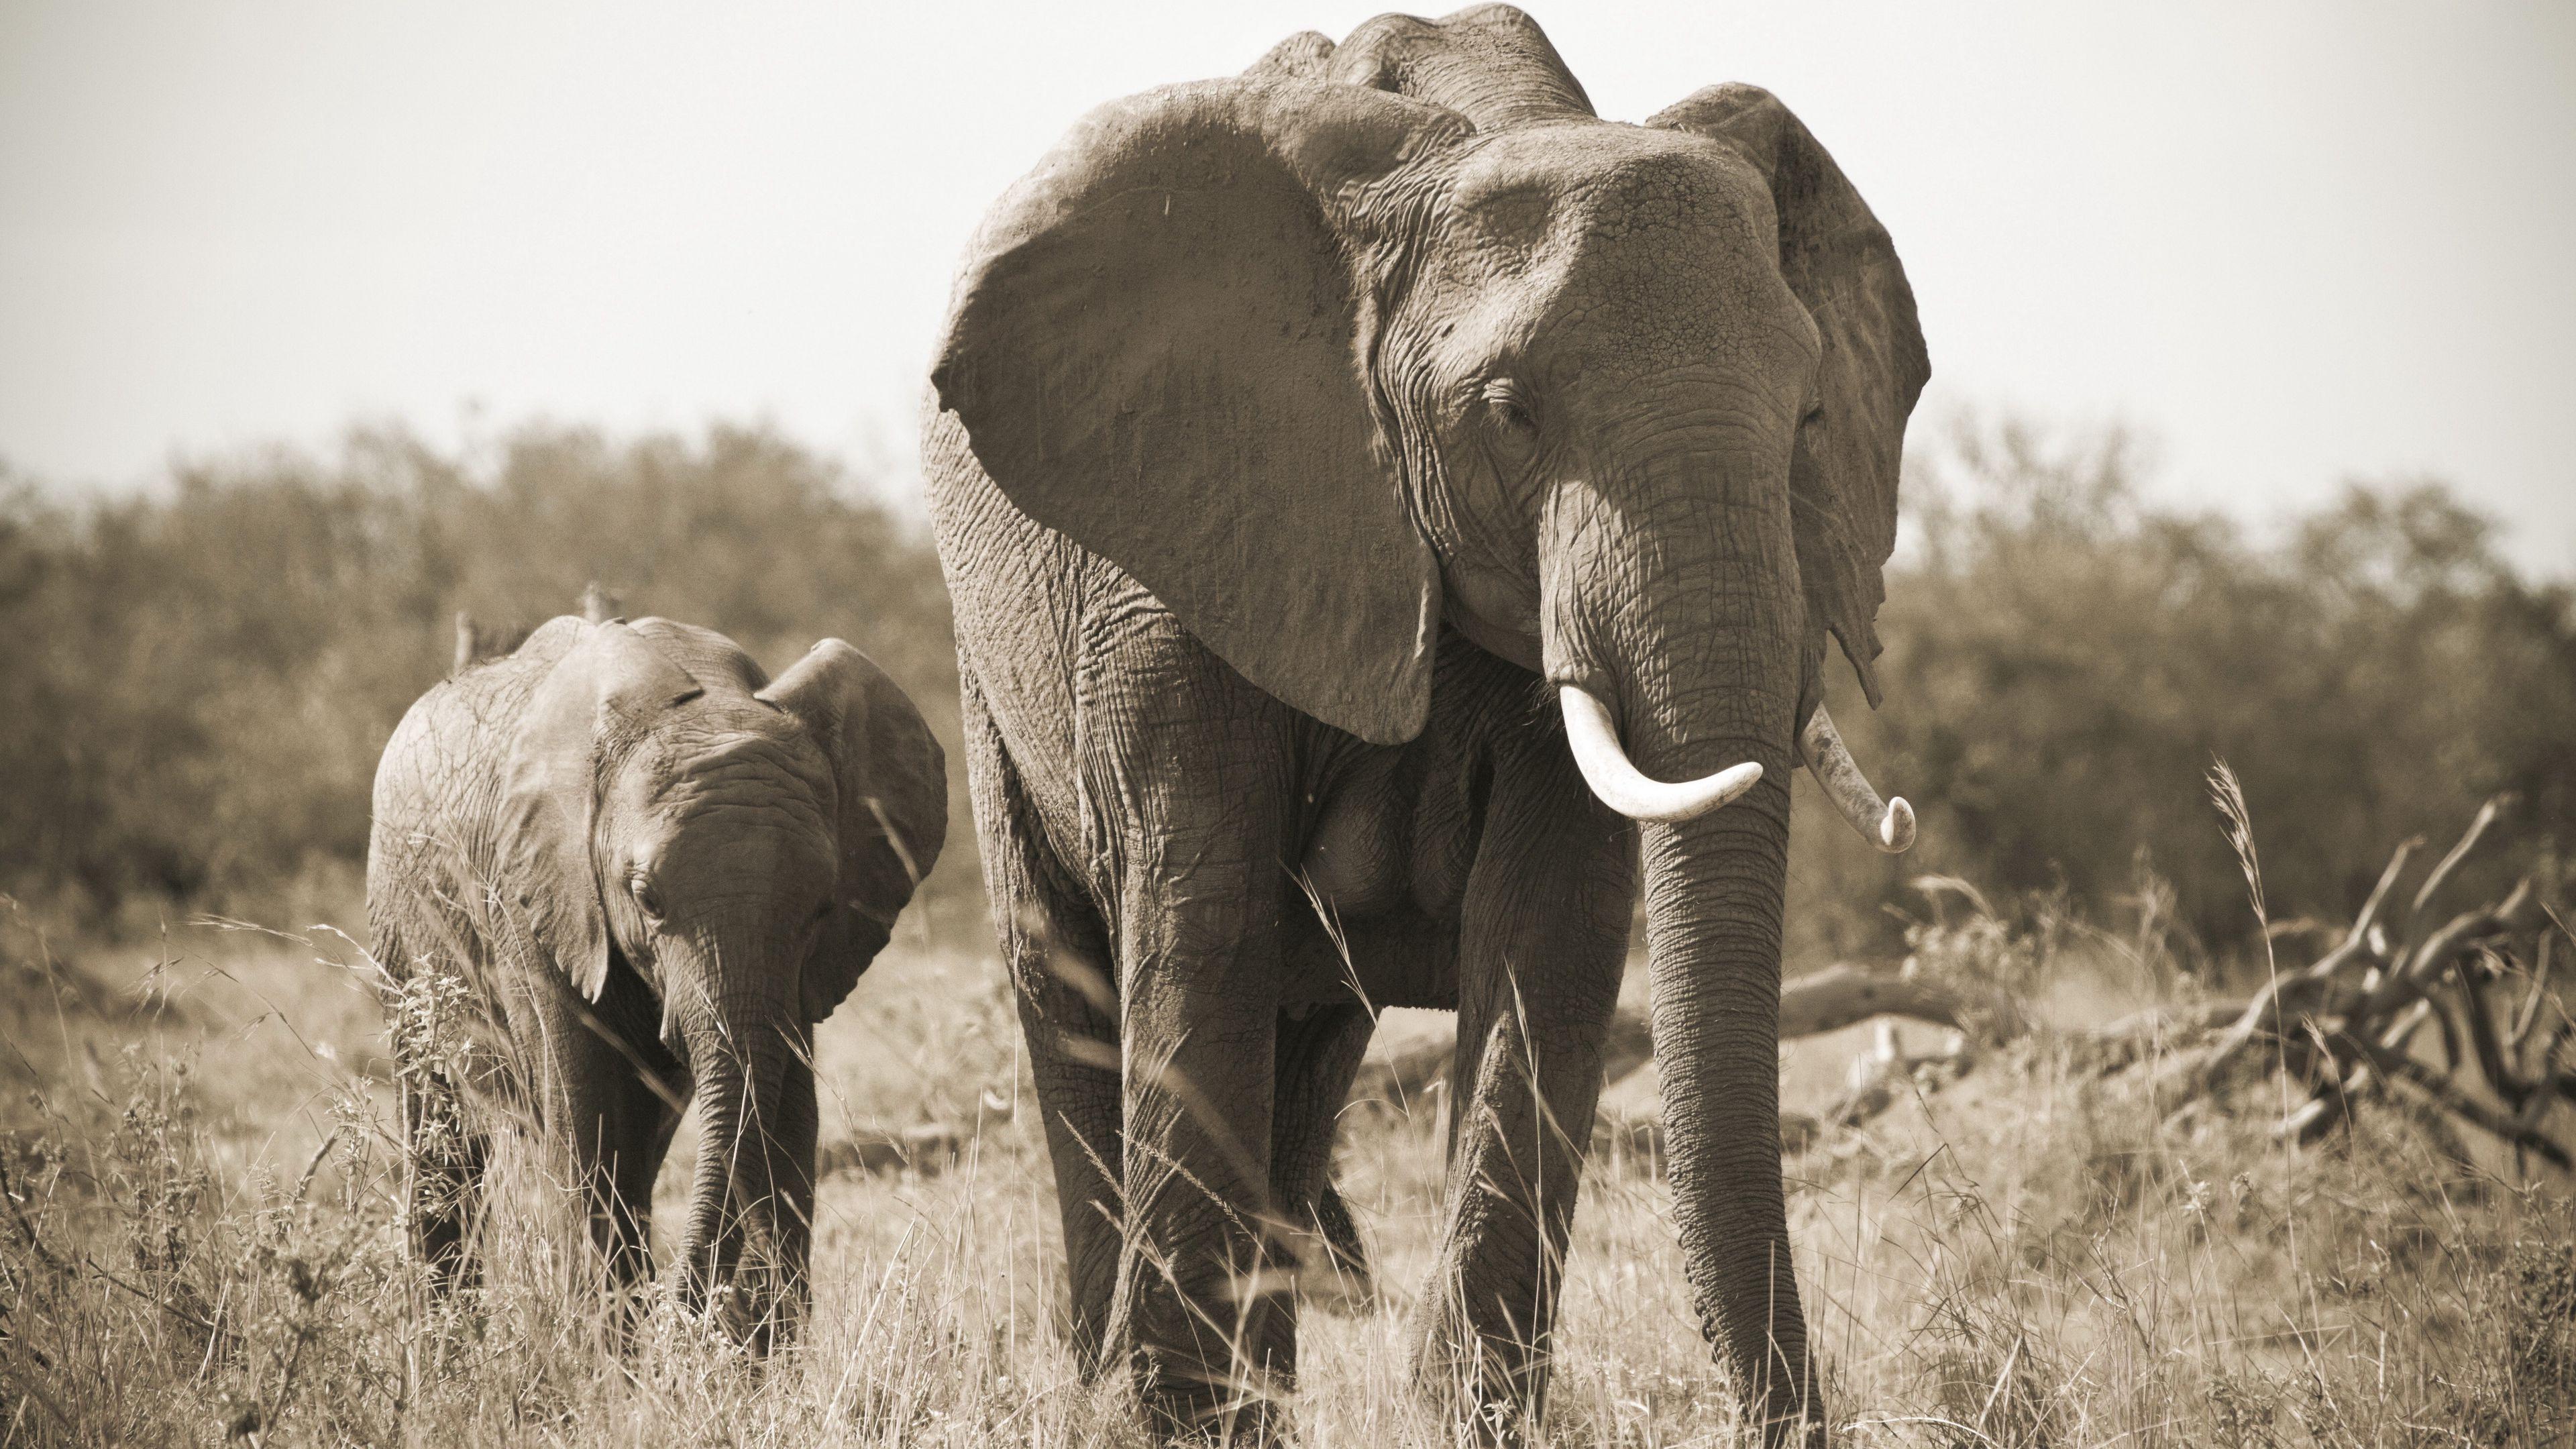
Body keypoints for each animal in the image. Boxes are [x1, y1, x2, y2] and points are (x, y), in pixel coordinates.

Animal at [365, 613, 945, 1343]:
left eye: (820, 909)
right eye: (646, 898)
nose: (694, 1311)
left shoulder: (801, 972)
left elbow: (787, 1121)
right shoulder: (533, 895)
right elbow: (589, 1126)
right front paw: (611, 1361)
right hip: (399, 927)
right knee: (443, 1134)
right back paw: (450, 1346)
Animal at [925, 5, 1926, 1439]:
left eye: (1810, 415)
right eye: (1511, 413)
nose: (1786, 1416)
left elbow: (1550, 933)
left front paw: (1466, 1419)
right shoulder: (1183, 542)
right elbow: (1198, 916)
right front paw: (1160, 1422)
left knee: (1307, 1049)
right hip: (987, 669)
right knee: (1068, 975)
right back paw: (1113, 1376)